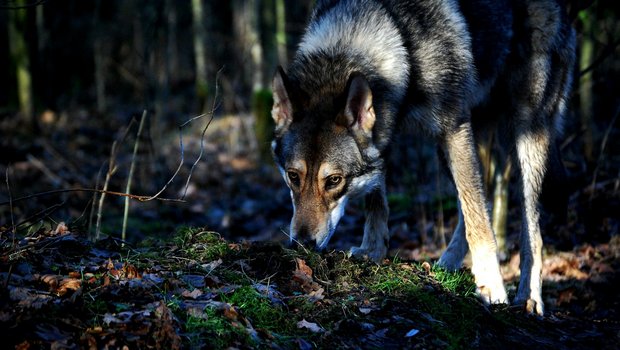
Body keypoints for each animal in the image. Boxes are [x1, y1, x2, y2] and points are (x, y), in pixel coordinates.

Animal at [272, 0, 576, 314]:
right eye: (293, 176)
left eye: (333, 180)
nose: (302, 244)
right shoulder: (387, 134)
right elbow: (377, 201)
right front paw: (372, 250)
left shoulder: (454, 127)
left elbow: (479, 223)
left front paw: (492, 286)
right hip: (455, 146)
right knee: (481, 199)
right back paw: (447, 265)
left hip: (524, 135)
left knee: (529, 229)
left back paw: (529, 298)